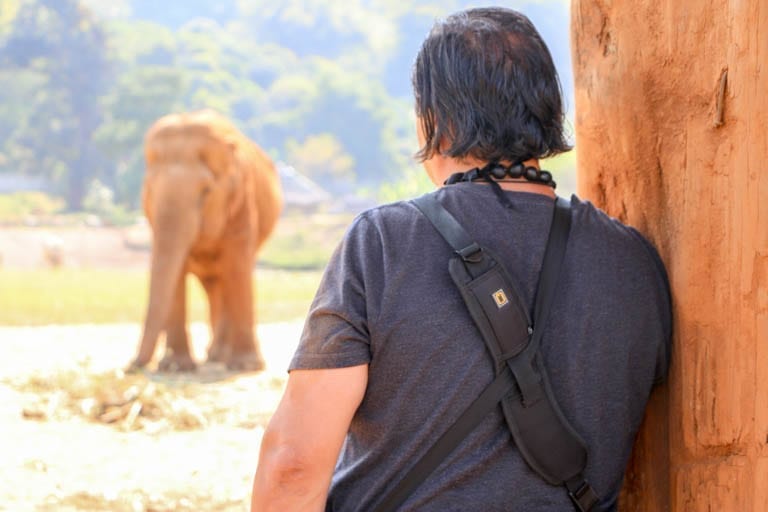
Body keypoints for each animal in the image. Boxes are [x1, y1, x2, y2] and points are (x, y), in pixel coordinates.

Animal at [130, 110, 284, 370]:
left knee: (228, 277)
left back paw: (222, 357)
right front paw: (176, 367)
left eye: (206, 191)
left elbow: (237, 265)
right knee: (213, 286)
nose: (132, 365)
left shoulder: (242, 201)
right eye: (148, 190)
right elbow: (177, 271)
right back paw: (214, 355)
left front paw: (245, 366)